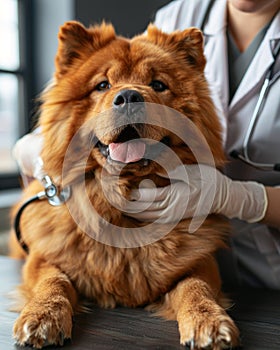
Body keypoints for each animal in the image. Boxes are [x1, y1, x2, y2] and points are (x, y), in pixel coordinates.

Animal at [9, 20, 240, 348]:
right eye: (102, 85)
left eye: (158, 85)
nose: (129, 96)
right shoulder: (42, 257)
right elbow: (52, 282)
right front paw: (42, 317)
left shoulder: (200, 261)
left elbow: (196, 288)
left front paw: (209, 322)